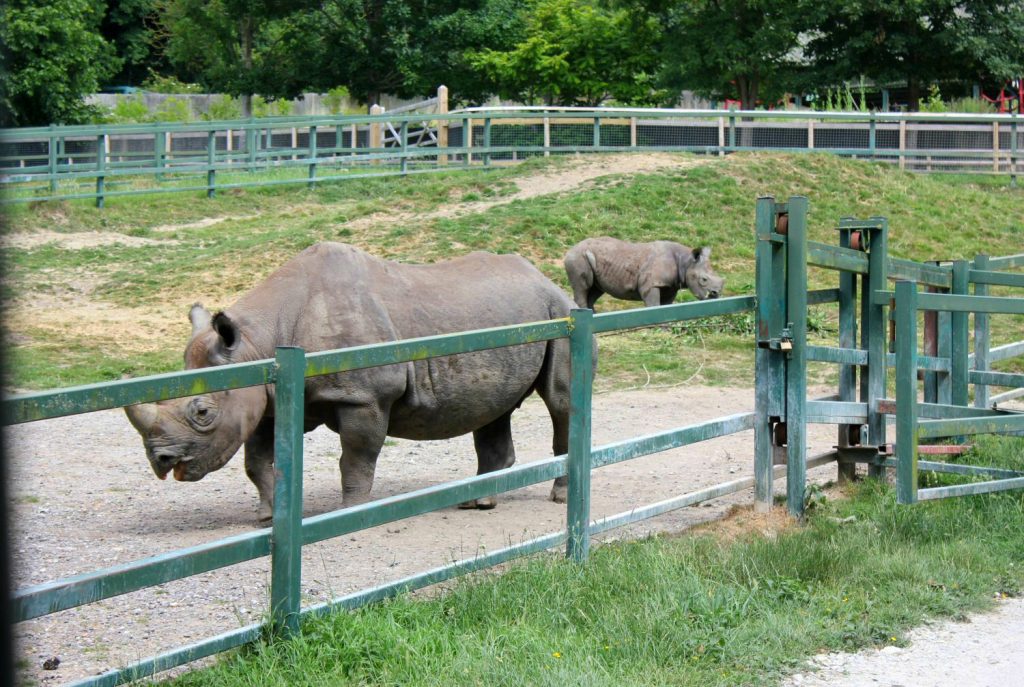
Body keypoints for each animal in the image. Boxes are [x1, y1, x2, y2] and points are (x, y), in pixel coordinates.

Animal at [125, 242, 581, 522]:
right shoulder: (265, 398)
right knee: (492, 409)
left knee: (561, 401)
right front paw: (269, 517)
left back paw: (557, 496)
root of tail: (543, 277)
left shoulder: (364, 397)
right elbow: (256, 462)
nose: (161, 462)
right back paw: (477, 502)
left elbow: (356, 460)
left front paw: (351, 513)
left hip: (559, 312)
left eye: (203, 412)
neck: (259, 343)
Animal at [564, 237, 724, 310]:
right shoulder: (651, 284)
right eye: (704, 279)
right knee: (583, 287)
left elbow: (666, 307)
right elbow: (654, 305)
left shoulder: (670, 286)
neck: (685, 261)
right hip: (578, 257)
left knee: (595, 289)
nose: (715, 294)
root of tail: (569, 250)